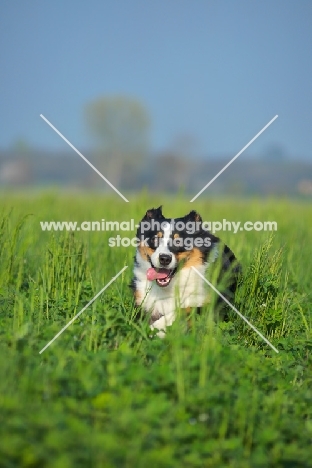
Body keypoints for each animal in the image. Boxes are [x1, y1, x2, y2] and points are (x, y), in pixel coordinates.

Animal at [130, 207, 240, 336]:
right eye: (155, 239)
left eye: (179, 242)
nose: (164, 258)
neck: (169, 287)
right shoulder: (141, 301)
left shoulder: (212, 304)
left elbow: (185, 309)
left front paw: (158, 326)